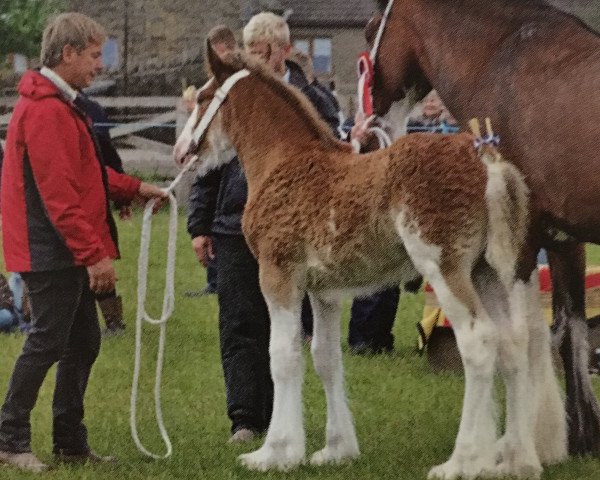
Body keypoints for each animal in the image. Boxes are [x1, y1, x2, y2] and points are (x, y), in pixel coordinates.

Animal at [175, 43, 568, 478]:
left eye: (203, 98)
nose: (181, 150)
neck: (284, 161)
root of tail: (485, 160)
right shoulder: (323, 293)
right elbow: (325, 358)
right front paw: (336, 450)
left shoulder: (278, 276)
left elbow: (282, 356)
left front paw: (275, 452)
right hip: (488, 272)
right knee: (514, 344)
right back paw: (516, 459)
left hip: (444, 269)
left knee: (479, 342)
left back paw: (461, 461)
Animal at [370, 0, 600, 458]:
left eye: (371, 30)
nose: (366, 132)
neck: (501, 60)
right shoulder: (564, 239)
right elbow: (571, 332)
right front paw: (579, 438)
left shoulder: (519, 240)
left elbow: (523, 336)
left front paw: (523, 441)